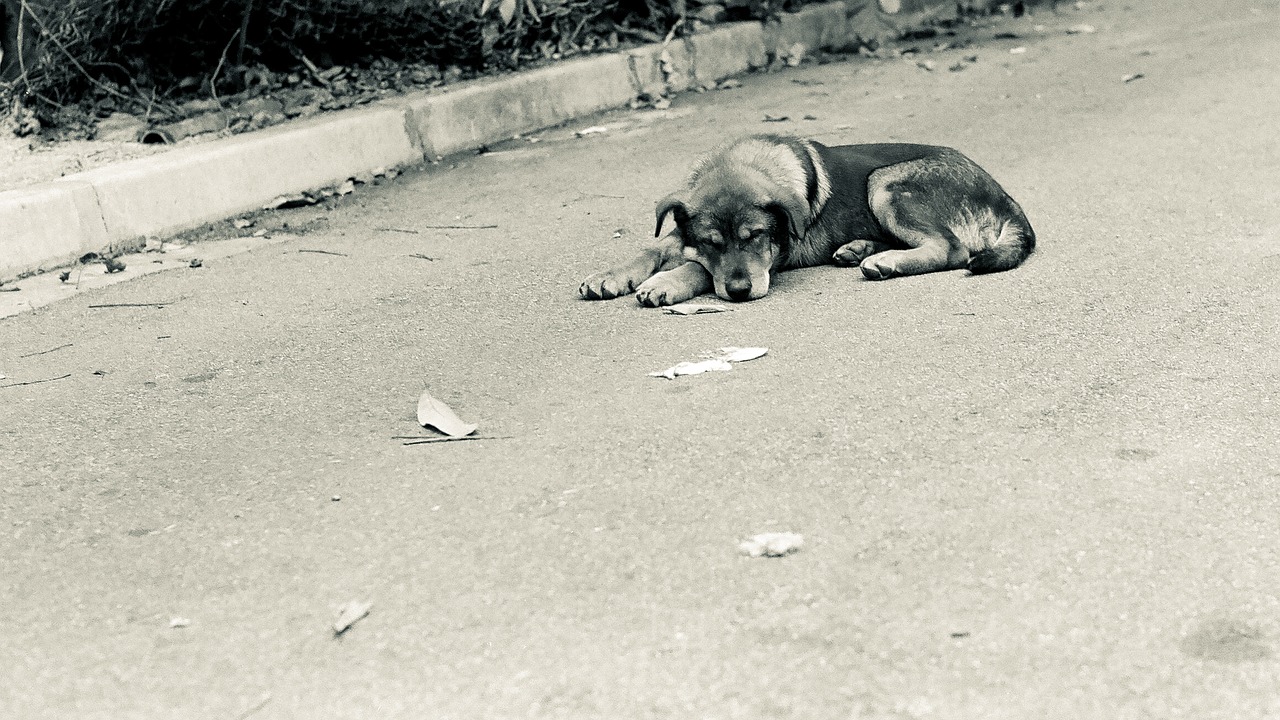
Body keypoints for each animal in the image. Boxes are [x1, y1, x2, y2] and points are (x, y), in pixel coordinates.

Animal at [576, 134, 1034, 304]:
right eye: (710, 242)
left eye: (756, 236)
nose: (740, 293)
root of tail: (1004, 195)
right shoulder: (681, 232)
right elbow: (653, 248)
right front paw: (611, 275)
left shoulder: (774, 257)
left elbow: (699, 269)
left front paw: (666, 283)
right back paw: (859, 249)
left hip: (884, 182)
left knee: (950, 248)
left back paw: (885, 262)